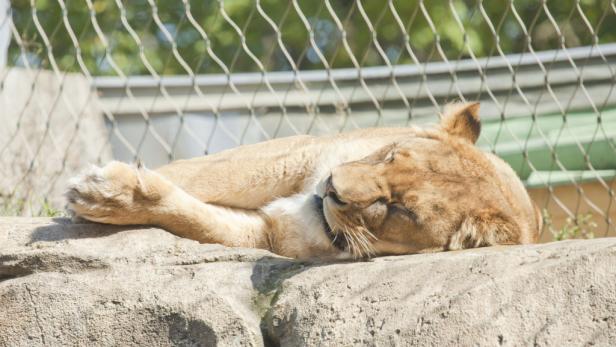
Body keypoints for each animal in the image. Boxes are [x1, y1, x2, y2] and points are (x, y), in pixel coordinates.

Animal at [66, 103, 540, 260]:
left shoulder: (270, 234)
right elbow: (199, 174)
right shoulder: (296, 154)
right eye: (390, 155)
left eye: (400, 208)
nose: (331, 188)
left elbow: (196, 219)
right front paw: (101, 192)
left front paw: (107, 194)